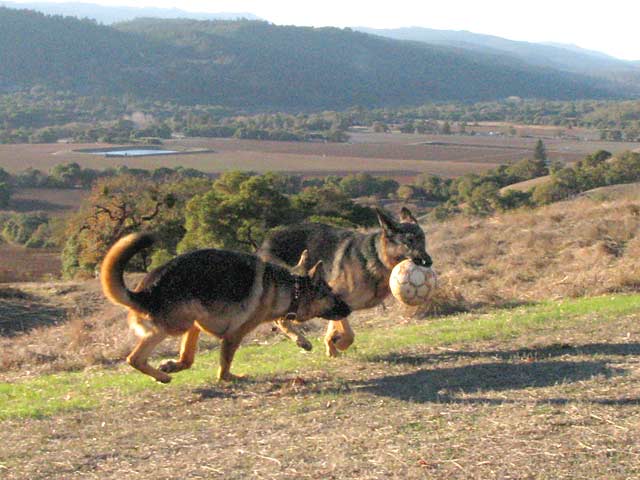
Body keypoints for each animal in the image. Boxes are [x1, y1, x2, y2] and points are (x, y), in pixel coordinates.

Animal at [101, 232, 350, 382]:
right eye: (330, 294)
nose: (348, 308)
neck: (292, 288)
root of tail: (145, 291)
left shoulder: (201, 324)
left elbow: (188, 358)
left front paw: (172, 365)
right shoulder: (234, 334)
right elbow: (225, 363)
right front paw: (231, 378)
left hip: (189, 320)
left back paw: (164, 373)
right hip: (175, 326)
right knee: (134, 358)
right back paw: (161, 377)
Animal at [258, 206, 432, 356]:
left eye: (422, 239)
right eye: (408, 242)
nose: (428, 262)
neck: (377, 257)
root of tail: (264, 243)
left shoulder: (336, 304)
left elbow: (334, 326)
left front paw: (330, 345)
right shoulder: (338, 298)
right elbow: (347, 333)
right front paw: (339, 344)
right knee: (280, 319)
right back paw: (301, 341)